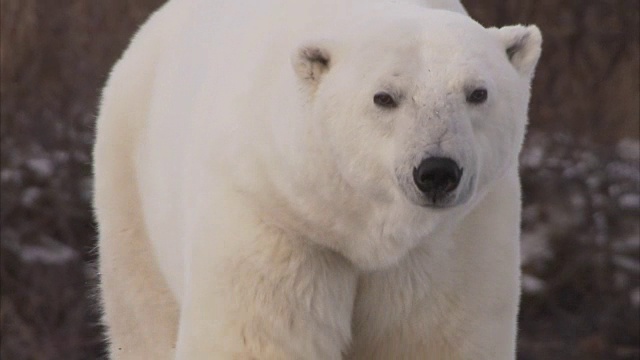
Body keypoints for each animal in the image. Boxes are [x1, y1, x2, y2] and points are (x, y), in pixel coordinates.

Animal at [91, 0, 540, 358]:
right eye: (384, 97)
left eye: (477, 93)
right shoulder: (274, 214)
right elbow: (257, 338)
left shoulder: (452, 239)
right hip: (130, 183)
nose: (437, 172)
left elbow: (435, 338)